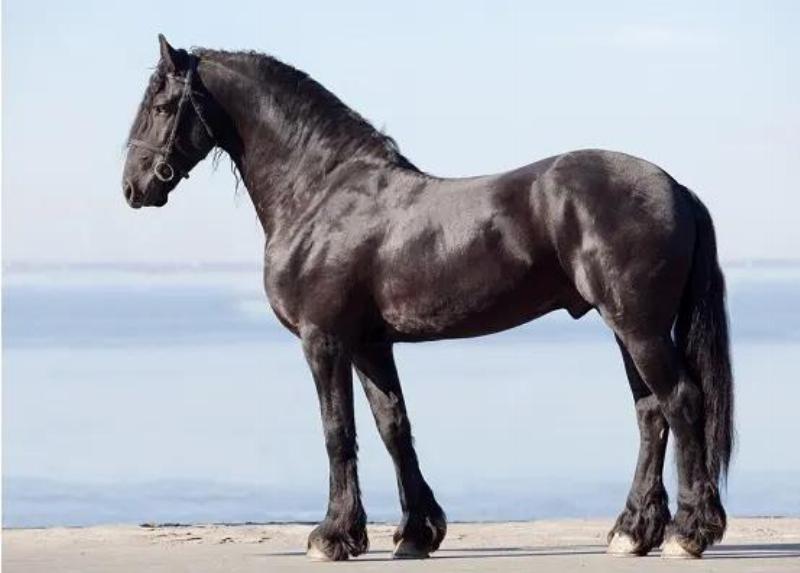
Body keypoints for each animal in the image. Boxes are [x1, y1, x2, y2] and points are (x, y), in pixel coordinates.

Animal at [122, 35, 734, 561]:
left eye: (162, 104)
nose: (133, 186)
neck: (321, 193)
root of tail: (674, 187)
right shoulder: (369, 345)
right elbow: (393, 427)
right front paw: (416, 533)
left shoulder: (325, 341)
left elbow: (337, 432)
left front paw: (332, 536)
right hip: (628, 329)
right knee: (651, 414)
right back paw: (633, 531)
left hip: (639, 328)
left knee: (681, 401)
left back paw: (689, 533)